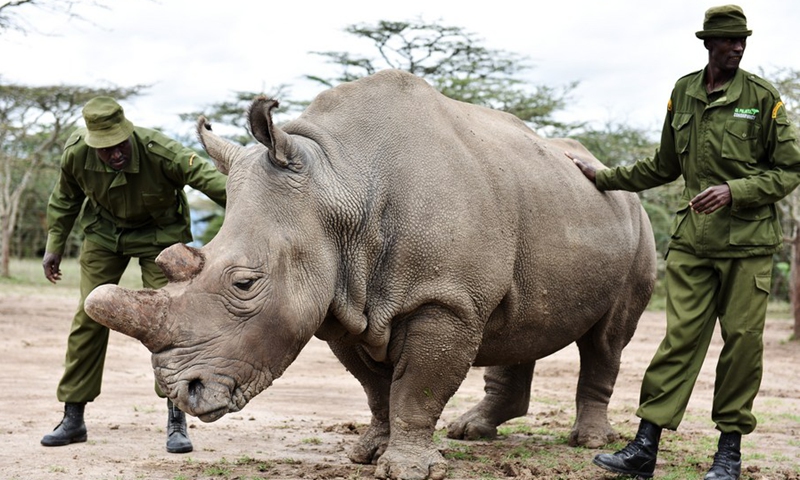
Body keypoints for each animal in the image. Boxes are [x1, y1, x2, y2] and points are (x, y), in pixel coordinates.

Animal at [85, 69, 656, 480]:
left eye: (244, 284)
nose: (182, 393)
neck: (339, 183)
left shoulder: (445, 299)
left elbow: (417, 387)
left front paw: (409, 470)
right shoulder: (341, 304)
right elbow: (375, 388)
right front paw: (367, 453)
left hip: (634, 221)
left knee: (607, 339)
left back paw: (590, 442)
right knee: (519, 324)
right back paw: (472, 431)